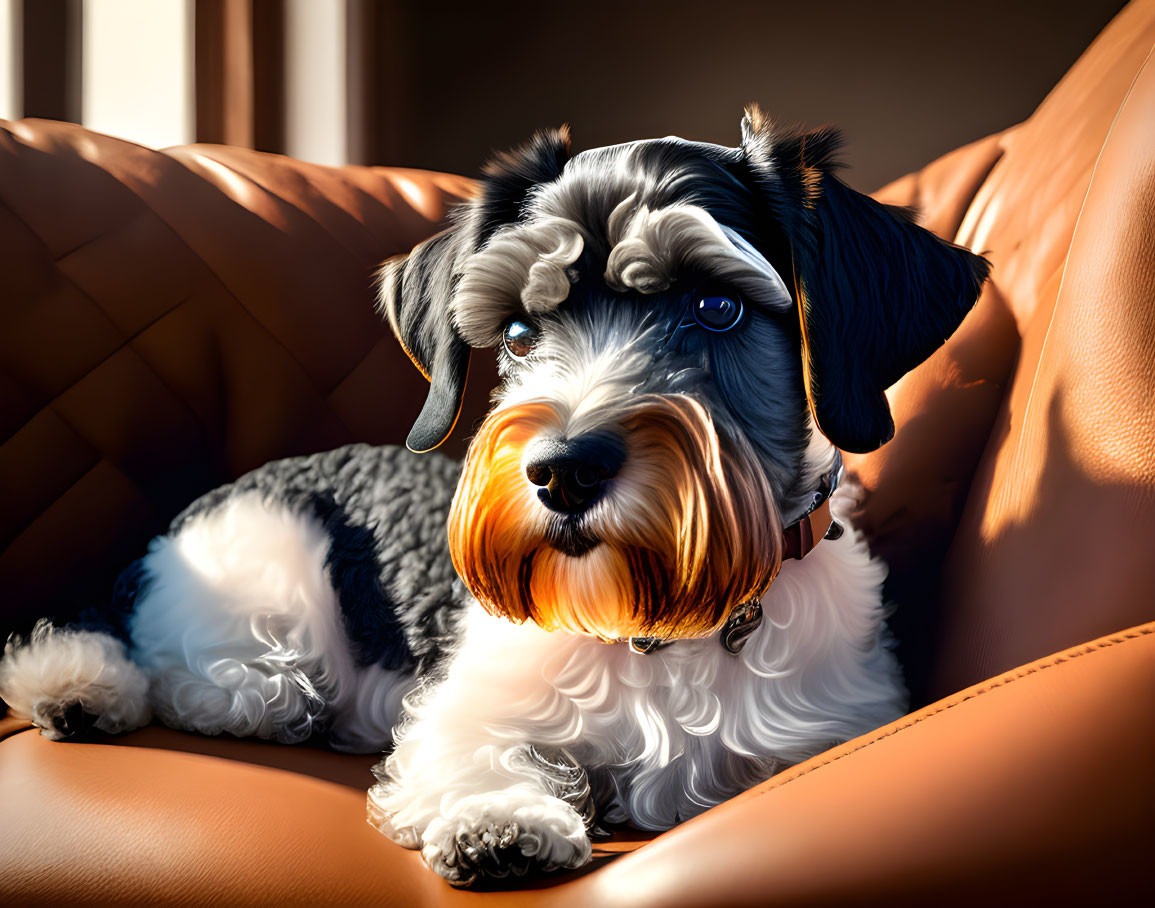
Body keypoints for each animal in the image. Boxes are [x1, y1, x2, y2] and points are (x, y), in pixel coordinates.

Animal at [4, 108, 988, 882]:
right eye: (517, 331)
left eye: (716, 309)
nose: (561, 471)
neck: (657, 617)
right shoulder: (460, 716)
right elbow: (484, 754)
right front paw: (503, 819)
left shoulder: (824, 732)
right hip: (259, 602)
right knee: (184, 676)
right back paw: (90, 688)